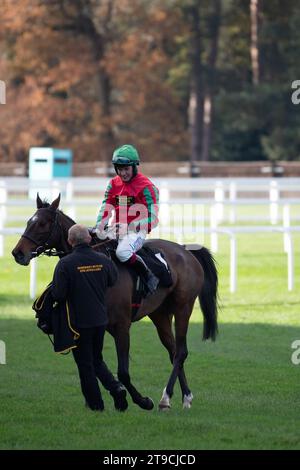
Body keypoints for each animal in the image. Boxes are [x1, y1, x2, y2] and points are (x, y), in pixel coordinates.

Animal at [12, 193, 218, 410]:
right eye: (29, 221)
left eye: (42, 224)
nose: (18, 253)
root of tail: (186, 251)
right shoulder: (101, 326)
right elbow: (95, 363)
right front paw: (117, 396)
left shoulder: (121, 326)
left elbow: (123, 372)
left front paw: (141, 400)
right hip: (160, 313)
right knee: (173, 351)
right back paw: (185, 396)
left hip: (183, 308)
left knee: (181, 352)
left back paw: (166, 397)